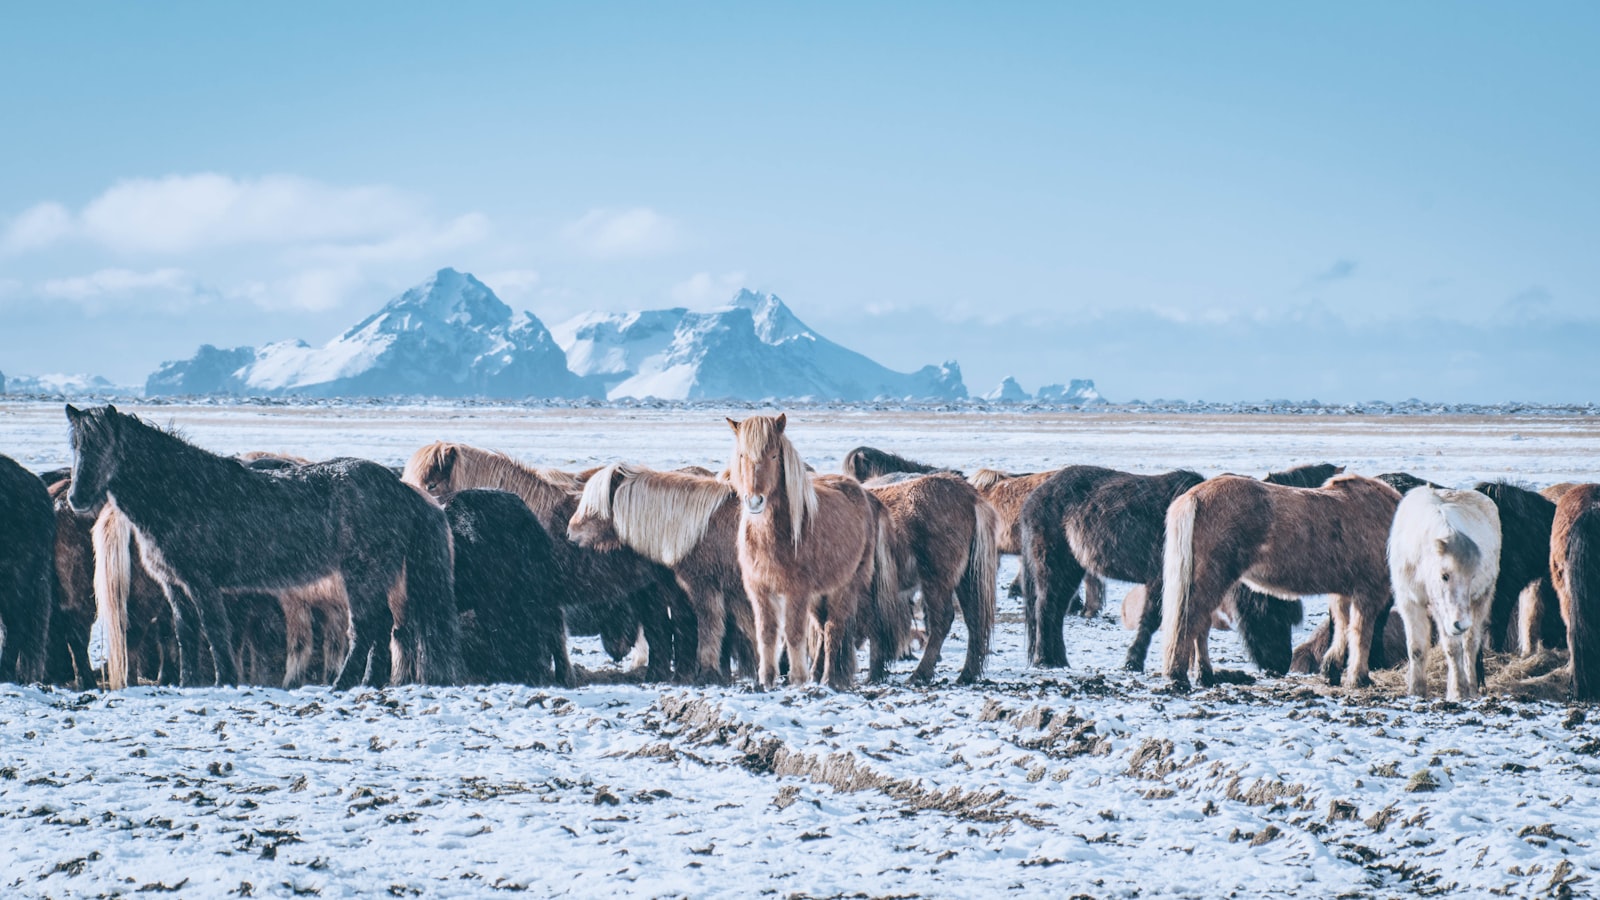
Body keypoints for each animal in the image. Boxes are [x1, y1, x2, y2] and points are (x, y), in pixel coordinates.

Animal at [67, 403, 457, 682]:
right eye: (75, 447)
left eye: (105, 447)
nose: (76, 498)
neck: (183, 492)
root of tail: (399, 489)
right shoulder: (174, 585)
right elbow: (185, 635)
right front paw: (188, 683)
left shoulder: (202, 583)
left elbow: (215, 630)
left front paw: (225, 680)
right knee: (380, 625)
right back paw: (367, 683)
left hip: (363, 574)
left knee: (365, 626)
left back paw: (343, 683)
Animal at [726, 413, 889, 685]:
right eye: (741, 456)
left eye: (774, 455)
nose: (755, 501)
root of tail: (864, 493)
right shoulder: (759, 589)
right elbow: (766, 633)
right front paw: (766, 679)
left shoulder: (797, 591)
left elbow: (793, 633)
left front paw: (797, 678)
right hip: (818, 594)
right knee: (822, 627)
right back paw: (818, 673)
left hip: (845, 585)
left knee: (834, 627)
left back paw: (829, 678)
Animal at [1164, 470, 1401, 685]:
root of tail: (1195, 496)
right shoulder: (1368, 591)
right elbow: (1362, 634)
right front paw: (1359, 678)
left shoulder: (1344, 592)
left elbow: (1343, 627)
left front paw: (1332, 670)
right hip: (1211, 581)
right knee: (1190, 623)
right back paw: (1180, 676)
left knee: (1200, 626)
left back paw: (1205, 676)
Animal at [1388, 483, 1497, 701]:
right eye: (1445, 576)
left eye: (1472, 576)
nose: (1461, 624)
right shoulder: (1409, 602)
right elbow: (1416, 649)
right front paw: (1416, 692)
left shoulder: (1442, 609)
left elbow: (1453, 649)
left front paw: (1459, 691)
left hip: (1481, 601)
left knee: (1469, 646)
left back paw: (1470, 688)